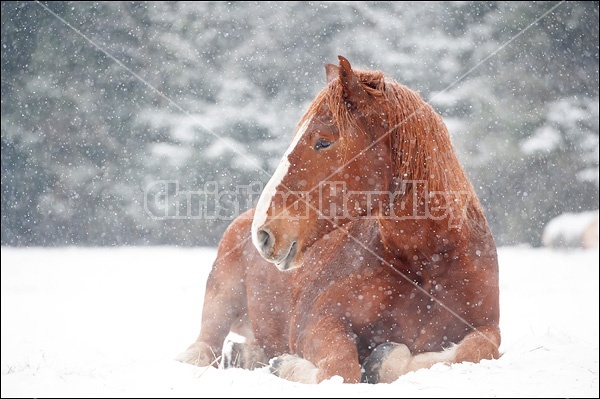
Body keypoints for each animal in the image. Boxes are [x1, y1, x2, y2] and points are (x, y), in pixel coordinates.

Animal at [176, 55, 500, 384]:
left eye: (323, 142)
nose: (263, 234)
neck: (426, 263)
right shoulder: (319, 320)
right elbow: (341, 368)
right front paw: (289, 365)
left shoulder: (488, 328)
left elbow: (474, 350)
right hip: (220, 304)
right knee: (205, 347)